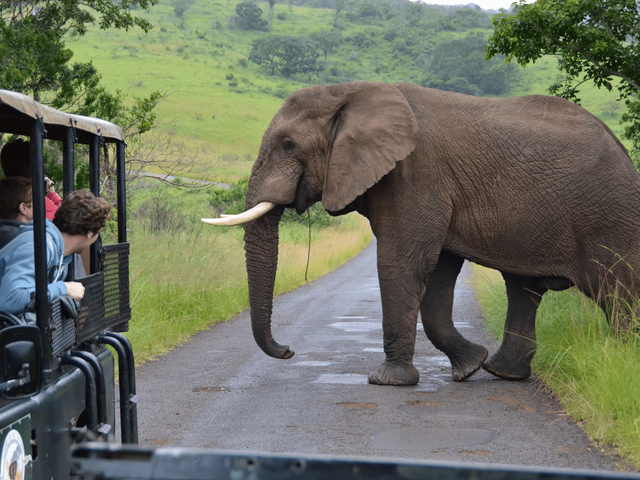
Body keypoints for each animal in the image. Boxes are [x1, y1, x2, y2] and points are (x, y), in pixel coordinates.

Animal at [204, 80, 640, 384]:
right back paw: (502, 373)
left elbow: (402, 263)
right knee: (524, 290)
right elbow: (438, 275)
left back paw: (621, 360)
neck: (349, 91)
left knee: (618, 293)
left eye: (289, 146)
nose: (288, 350)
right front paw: (470, 367)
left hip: (610, 218)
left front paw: (387, 382)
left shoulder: (417, 176)